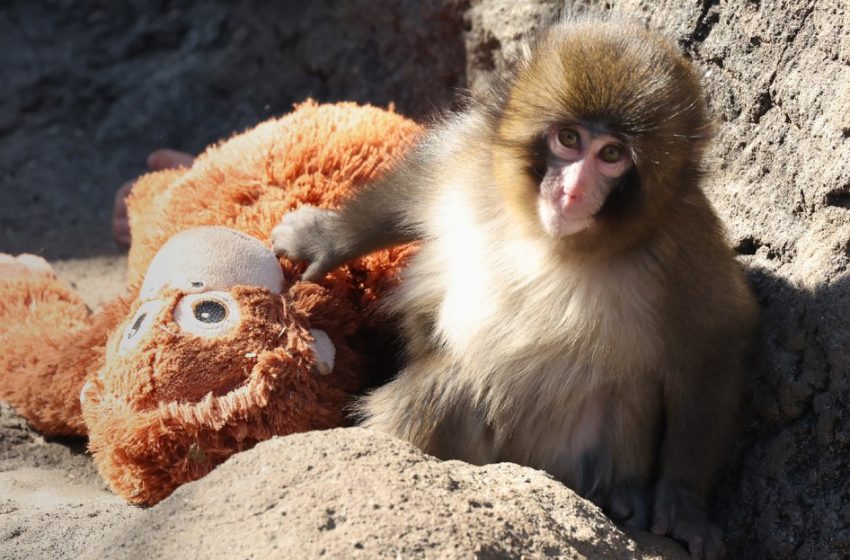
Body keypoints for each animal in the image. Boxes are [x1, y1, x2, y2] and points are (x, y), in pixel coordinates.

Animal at [272, 17, 758, 560]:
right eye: (568, 138)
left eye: (611, 155)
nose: (571, 190)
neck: (550, 240)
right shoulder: (472, 159)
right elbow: (413, 187)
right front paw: (325, 239)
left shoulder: (685, 245)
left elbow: (713, 343)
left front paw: (684, 502)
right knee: (449, 387)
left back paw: (624, 496)